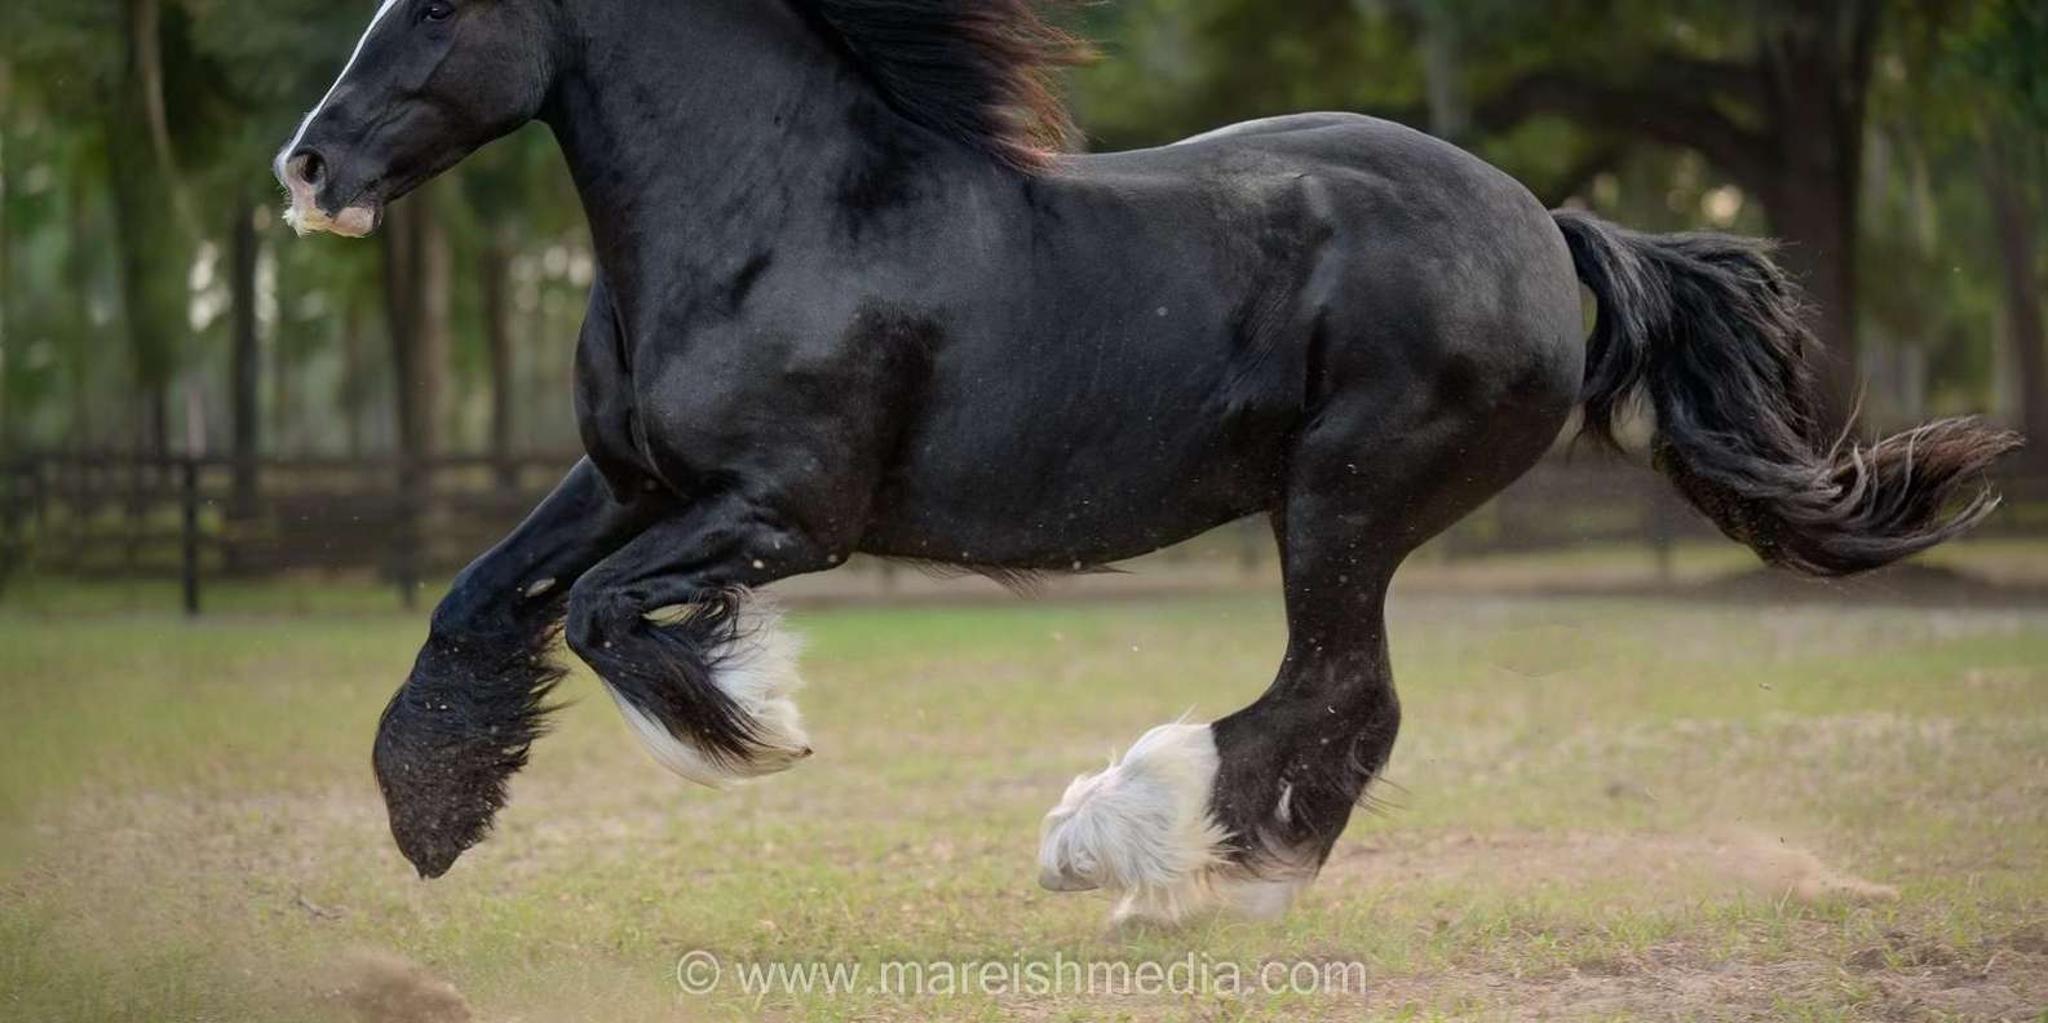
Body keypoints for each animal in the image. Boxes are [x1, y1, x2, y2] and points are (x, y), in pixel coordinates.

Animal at [275, 0, 2020, 926]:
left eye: (438, 8)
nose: (306, 166)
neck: (780, 221)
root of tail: (1547, 224)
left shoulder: (787, 512)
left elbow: (604, 616)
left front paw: (747, 719)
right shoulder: (626, 479)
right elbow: (477, 597)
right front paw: (435, 811)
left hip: (1343, 502)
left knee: (1340, 691)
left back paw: (1141, 850)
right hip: (1339, 512)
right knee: (1336, 700)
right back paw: (1196, 858)